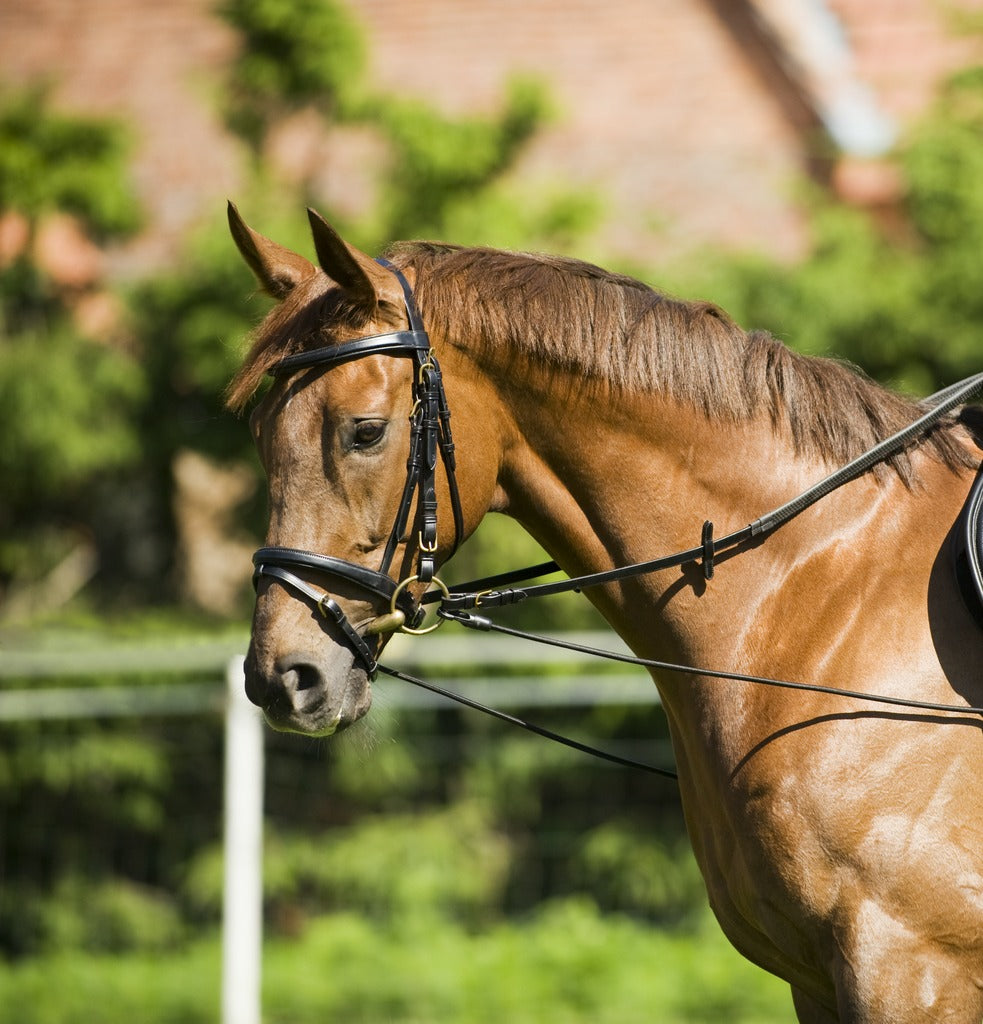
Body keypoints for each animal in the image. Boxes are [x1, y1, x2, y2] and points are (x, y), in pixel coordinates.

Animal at [226, 203, 983, 1019]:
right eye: (262, 436)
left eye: (363, 432)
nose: (284, 678)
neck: (815, 589)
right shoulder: (815, 980)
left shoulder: (908, 968)